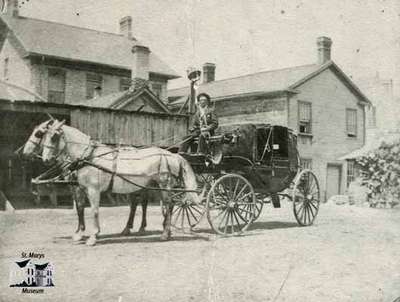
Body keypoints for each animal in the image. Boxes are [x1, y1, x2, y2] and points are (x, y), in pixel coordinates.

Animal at [39, 119, 199, 245]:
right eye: (43, 136)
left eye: (54, 137)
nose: (45, 159)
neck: (89, 157)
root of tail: (172, 155)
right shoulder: (81, 189)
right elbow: (80, 208)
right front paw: (80, 234)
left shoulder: (93, 190)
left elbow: (94, 211)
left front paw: (93, 236)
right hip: (155, 187)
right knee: (162, 206)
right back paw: (164, 231)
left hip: (165, 185)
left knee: (169, 205)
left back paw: (165, 234)